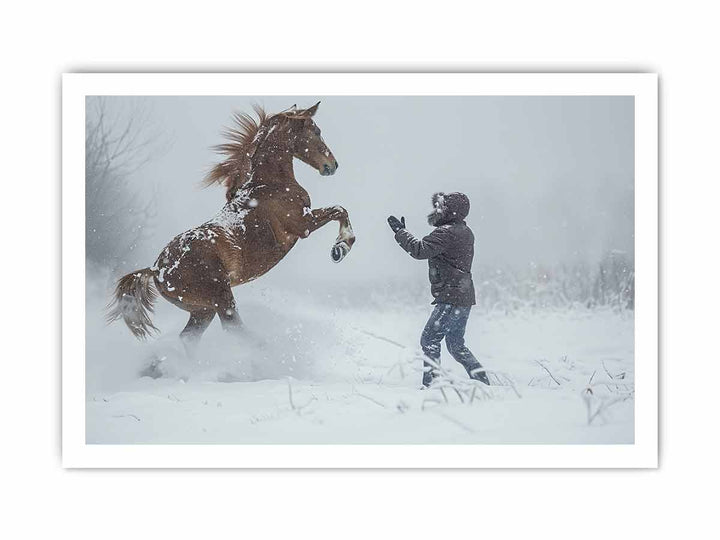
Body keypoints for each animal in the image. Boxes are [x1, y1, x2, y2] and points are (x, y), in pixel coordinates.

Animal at [107, 102, 354, 354]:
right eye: (317, 131)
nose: (332, 165)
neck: (272, 185)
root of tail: (155, 269)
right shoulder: (303, 225)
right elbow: (340, 210)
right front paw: (340, 249)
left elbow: (340, 211)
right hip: (220, 296)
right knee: (233, 327)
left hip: (202, 309)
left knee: (190, 337)